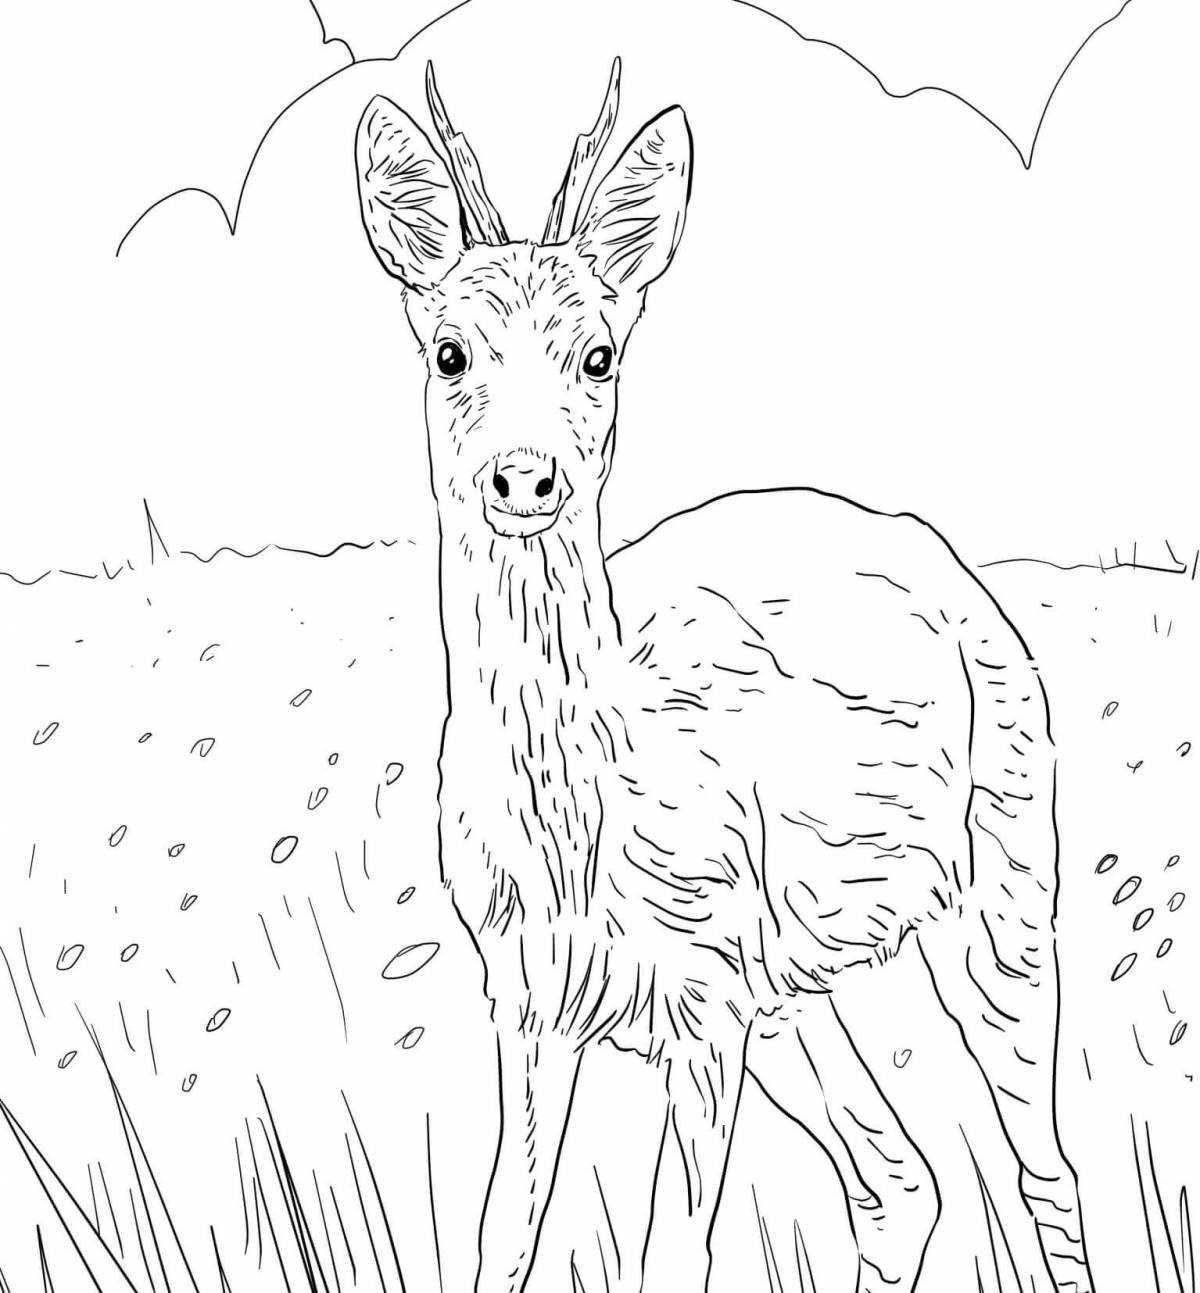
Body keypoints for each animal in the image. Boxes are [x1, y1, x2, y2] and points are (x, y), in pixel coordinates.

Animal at [354, 60, 1095, 1293]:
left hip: (1002, 888)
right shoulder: (530, 998)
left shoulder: (701, 1002)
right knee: (899, 1179)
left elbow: (671, 1249)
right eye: (449, 352)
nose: (525, 476)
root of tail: (952, 572)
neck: (579, 829)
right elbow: (503, 1236)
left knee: (1042, 1168)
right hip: (799, 978)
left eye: (598, 354)